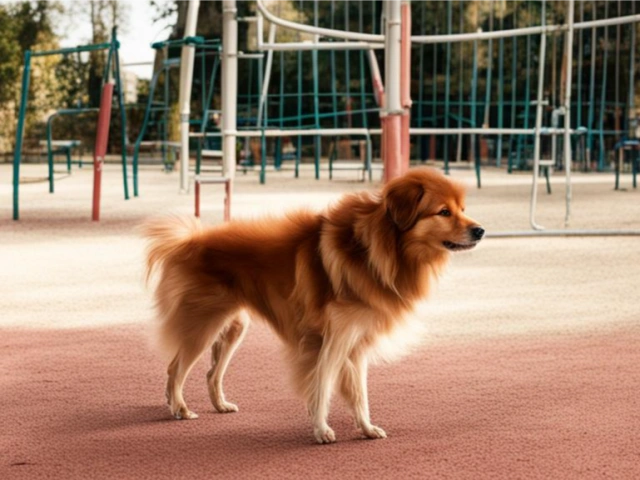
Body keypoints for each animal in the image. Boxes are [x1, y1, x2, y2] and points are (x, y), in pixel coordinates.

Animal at [144, 168, 484, 442]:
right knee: (176, 368)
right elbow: (321, 387)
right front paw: (321, 430)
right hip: (203, 325)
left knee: (211, 373)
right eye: (443, 212)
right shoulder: (330, 341)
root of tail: (191, 241)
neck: (375, 250)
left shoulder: (355, 344)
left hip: (233, 328)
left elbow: (359, 394)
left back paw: (219, 405)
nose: (480, 230)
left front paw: (366, 428)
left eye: (462, 209)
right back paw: (179, 408)